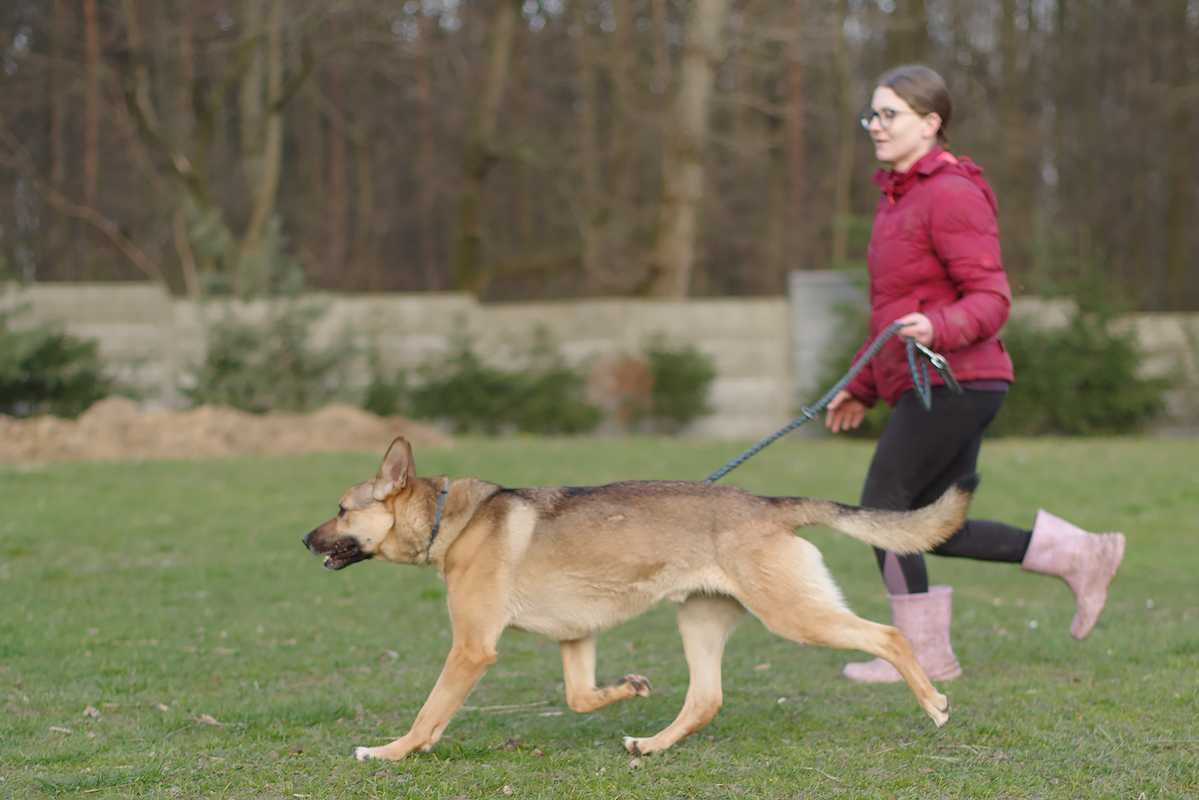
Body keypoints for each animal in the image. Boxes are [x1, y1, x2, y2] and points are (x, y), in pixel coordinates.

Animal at [302, 438, 973, 762]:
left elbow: (428, 714)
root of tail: (768, 505)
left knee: (887, 635)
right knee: (705, 699)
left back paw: (936, 704)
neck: (452, 520)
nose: (304, 540)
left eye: (340, 509)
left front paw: (389, 752)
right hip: (699, 620)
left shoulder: (472, 649)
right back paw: (650, 745)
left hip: (795, 615)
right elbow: (580, 698)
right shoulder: (577, 637)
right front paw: (629, 688)